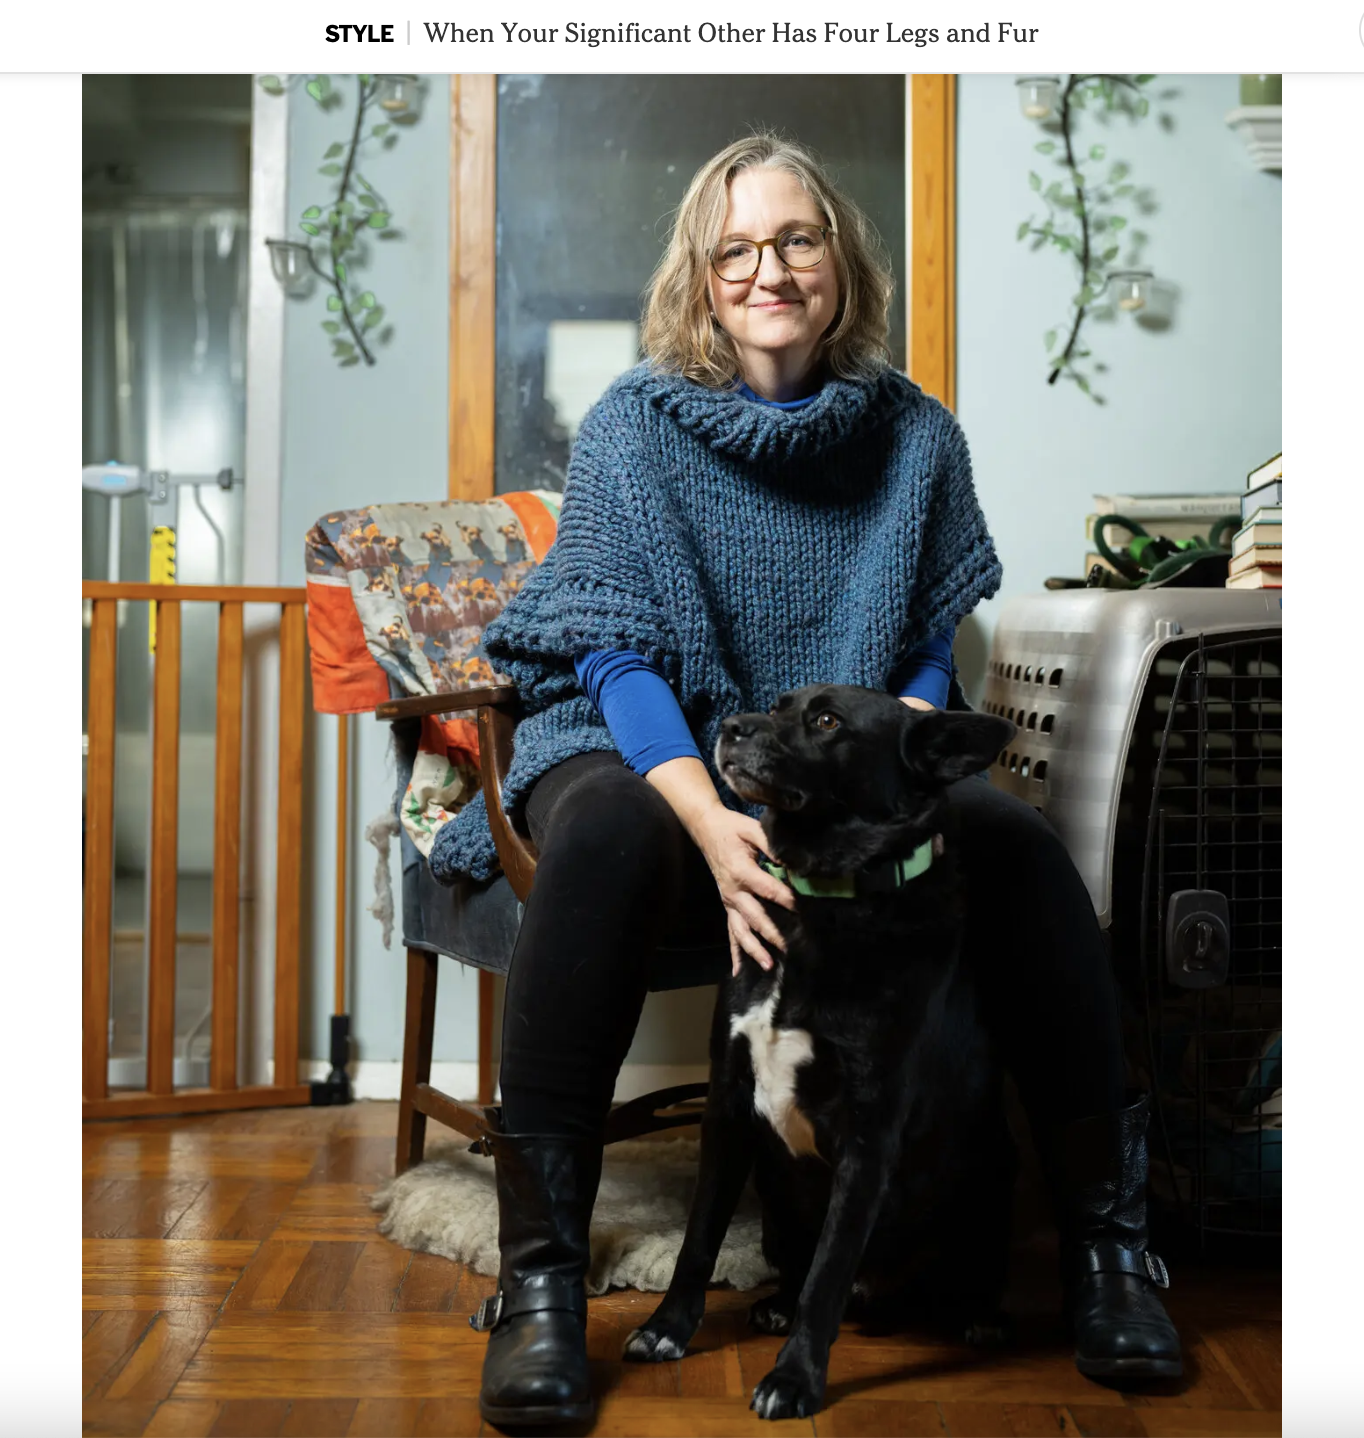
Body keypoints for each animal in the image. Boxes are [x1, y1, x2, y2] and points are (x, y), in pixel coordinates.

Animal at [623, 681, 1017, 1414]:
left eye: (828, 721)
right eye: (779, 706)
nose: (729, 726)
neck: (822, 899)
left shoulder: (867, 1141)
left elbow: (828, 1277)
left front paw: (794, 1378)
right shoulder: (728, 1104)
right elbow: (699, 1239)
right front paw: (668, 1328)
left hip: (994, 1174)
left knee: (950, 1276)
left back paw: (983, 1317)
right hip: (778, 1202)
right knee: (796, 1267)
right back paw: (775, 1303)